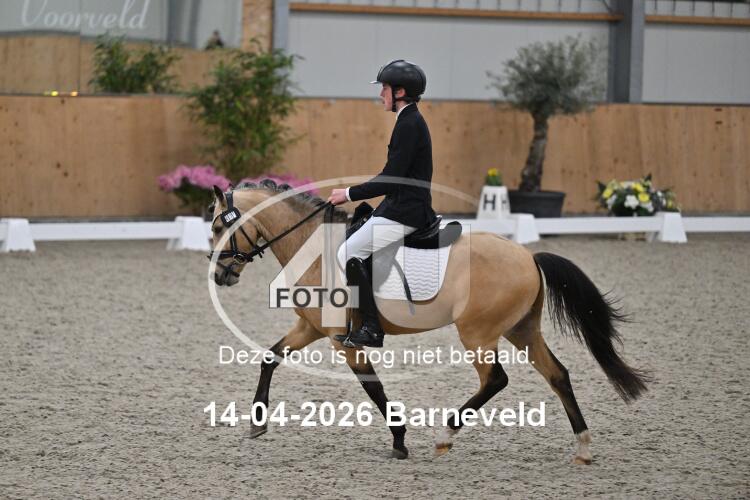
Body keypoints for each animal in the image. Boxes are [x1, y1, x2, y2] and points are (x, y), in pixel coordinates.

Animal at [208, 180, 650, 463]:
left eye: (216, 225)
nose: (220, 275)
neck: (314, 246)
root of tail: (528, 256)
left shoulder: (342, 339)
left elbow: (373, 388)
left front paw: (400, 440)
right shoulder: (312, 329)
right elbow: (270, 357)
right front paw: (257, 423)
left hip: (478, 333)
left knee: (495, 380)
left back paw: (444, 436)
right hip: (520, 328)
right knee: (557, 375)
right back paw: (583, 447)